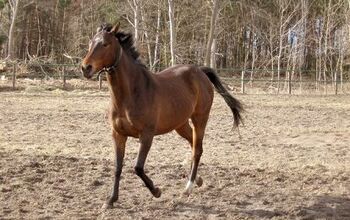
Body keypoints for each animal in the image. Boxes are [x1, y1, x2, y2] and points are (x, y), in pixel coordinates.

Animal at [81, 23, 243, 209]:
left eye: (105, 44)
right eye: (90, 42)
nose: (85, 68)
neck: (130, 94)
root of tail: (200, 71)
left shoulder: (146, 135)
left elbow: (138, 167)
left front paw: (156, 191)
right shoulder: (118, 134)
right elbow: (117, 167)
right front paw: (111, 200)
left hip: (200, 118)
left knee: (197, 150)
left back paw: (188, 187)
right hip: (180, 124)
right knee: (193, 144)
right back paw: (198, 180)